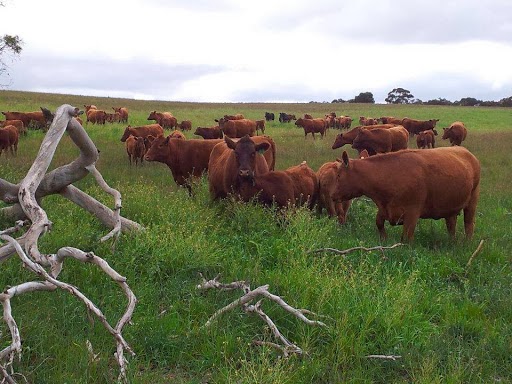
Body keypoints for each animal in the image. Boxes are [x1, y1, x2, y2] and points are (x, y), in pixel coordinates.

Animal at [330, 147, 482, 240]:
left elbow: (406, 238)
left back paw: (467, 242)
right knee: (451, 224)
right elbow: (379, 223)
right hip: (450, 207)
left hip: (472, 201)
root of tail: (467, 152)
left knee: (469, 224)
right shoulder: (385, 208)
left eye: (338, 175)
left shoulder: (412, 213)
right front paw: (384, 239)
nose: (332, 196)